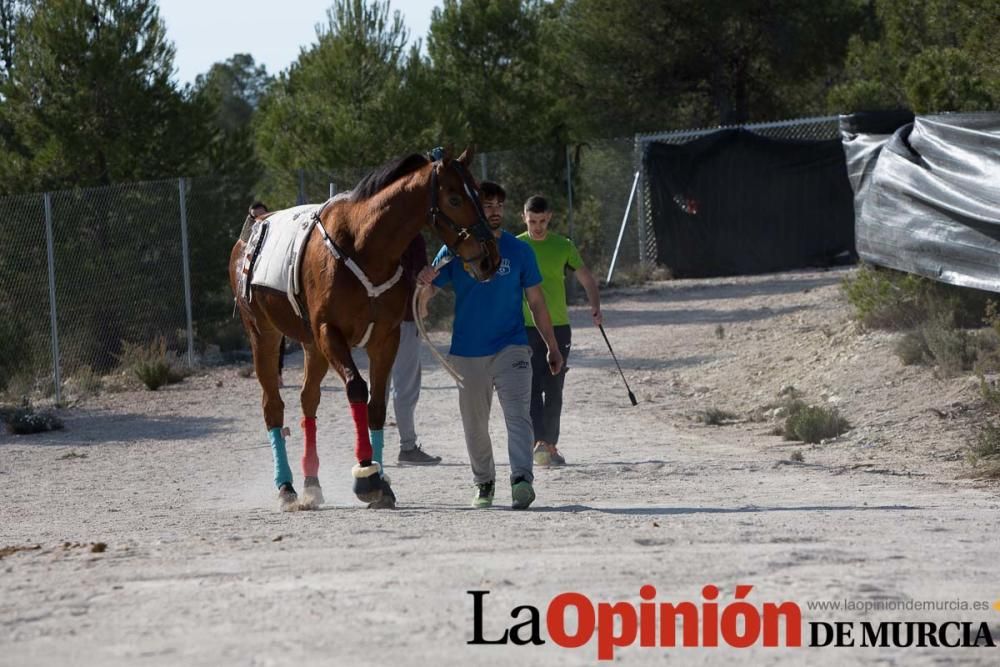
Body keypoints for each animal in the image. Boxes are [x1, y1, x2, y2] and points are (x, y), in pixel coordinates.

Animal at [232, 147, 500, 512]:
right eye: (455, 198)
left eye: (478, 194)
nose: (490, 258)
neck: (363, 246)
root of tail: (250, 235)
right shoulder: (330, 333)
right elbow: (358, 389)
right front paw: (367, 475)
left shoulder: (385, 338)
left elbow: (377, 404)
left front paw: (381, 478)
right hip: (265, 336)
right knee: (273, 405)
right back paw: (286, 487)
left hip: (312, 346)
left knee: (308, 400)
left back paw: (311, 483)